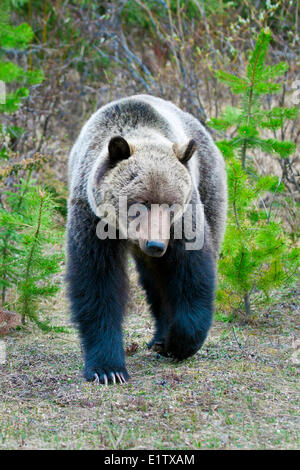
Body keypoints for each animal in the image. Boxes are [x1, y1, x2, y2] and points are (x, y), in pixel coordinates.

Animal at [67, 93, 226, 384]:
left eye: (171, 204)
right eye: (139, 203)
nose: (156, 245)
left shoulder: (183, 224)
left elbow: (191, 274)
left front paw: (178, 343)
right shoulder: (93, 221)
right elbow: (97, 282)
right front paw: (108, 369)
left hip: (210, 186)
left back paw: (162, 339)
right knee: (154, 282)